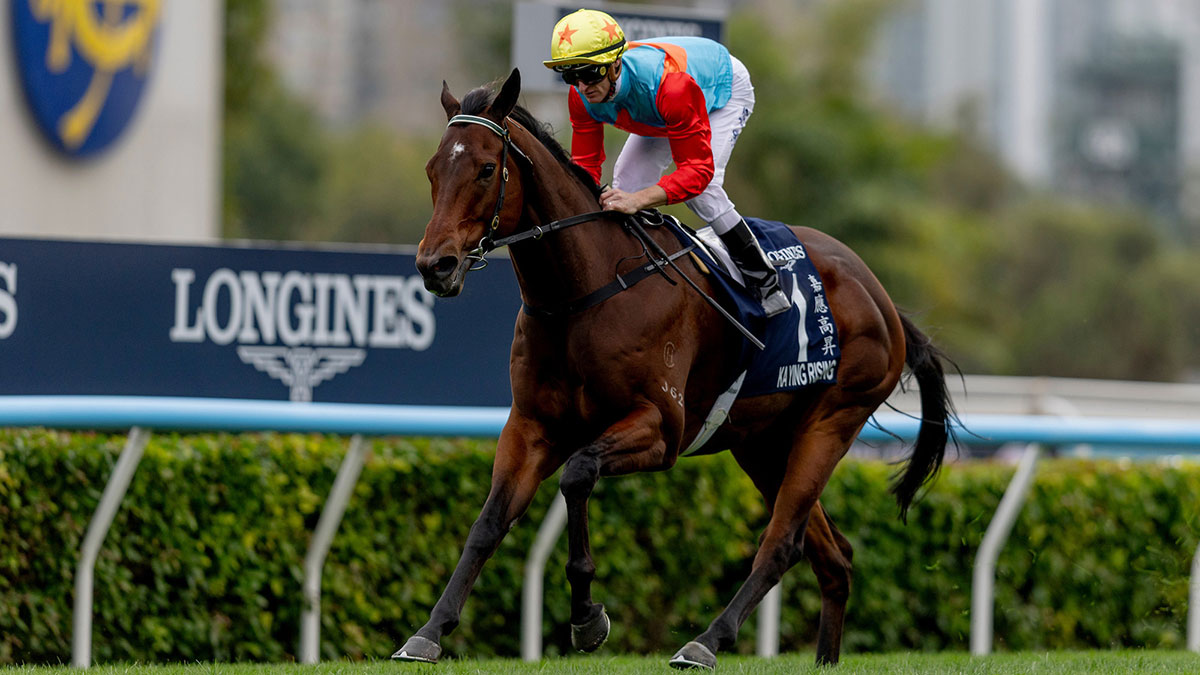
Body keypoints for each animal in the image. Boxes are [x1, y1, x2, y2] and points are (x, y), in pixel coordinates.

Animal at [395, 69, 954, 669]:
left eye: (485, 168)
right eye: (432, 169)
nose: (435, 266)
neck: (583, 293)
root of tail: (881, 298)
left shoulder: (660, 428)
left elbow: (578, 474)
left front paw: (588, 618)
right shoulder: (532, 425)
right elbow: (489, 522)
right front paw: (428, 632)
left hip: (831, 422)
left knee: (782, 542)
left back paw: (706, 641)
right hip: (762, 442)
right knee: (832, 555)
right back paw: (823, 658)